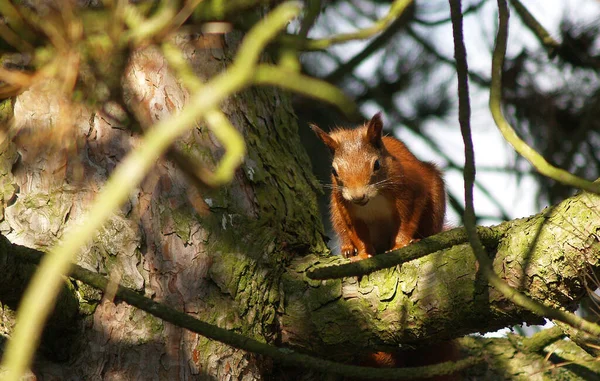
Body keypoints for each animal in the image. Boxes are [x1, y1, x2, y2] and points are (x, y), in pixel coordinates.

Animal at [310, 111, 446, 260]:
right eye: (334, 171)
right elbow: (357, 232)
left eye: (376, 164)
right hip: (336, 212)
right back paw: (348, 248)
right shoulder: (344, 206)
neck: (374, 197)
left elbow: (406, 221)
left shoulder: (412, 189)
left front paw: (399, 245)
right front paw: (364, 254)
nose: (357, 197)